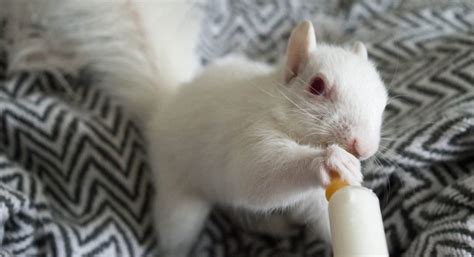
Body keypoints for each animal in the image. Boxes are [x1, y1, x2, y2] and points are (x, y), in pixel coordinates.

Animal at [25, 1, 386, 255]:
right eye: (317, 86)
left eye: (382, 102)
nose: (363, 147)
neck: (276, 105)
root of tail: (166, 106)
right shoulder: (248, 135)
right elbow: (259, 172)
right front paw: (329, 160)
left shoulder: (313, 200)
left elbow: (324, 217)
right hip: (179, 196)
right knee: (178, 229)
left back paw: (272, 226)